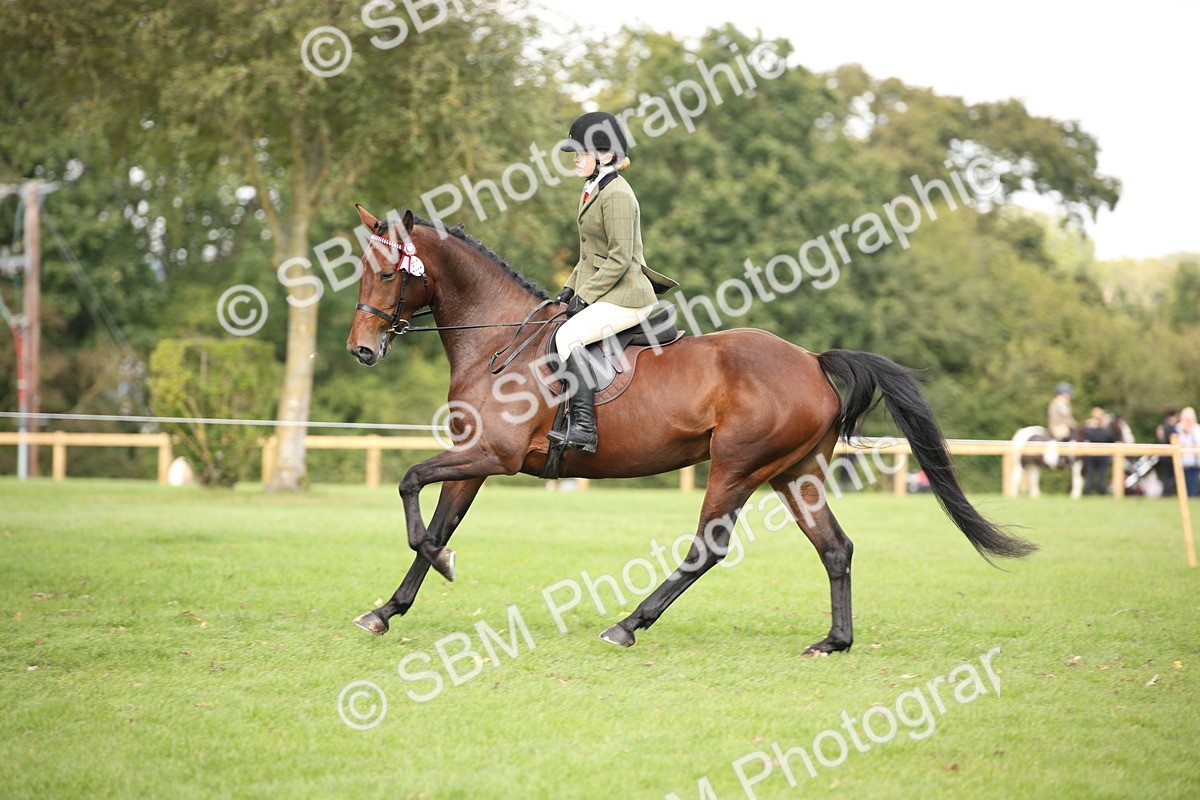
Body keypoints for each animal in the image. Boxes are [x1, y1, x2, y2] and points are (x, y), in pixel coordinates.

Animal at [345, 206, 1037, 655]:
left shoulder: (493, 453)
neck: (497, 339)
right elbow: (436, 522)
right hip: (794, 473)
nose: (361, 350)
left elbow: (410, 486)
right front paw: (387, 609)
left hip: (736, 467)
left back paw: (627, 625)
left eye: (388, 273)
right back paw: (834, 642)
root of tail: (812, 360)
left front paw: (440, 568)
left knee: (708, 547)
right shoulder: (476, 456)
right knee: (834, 547)